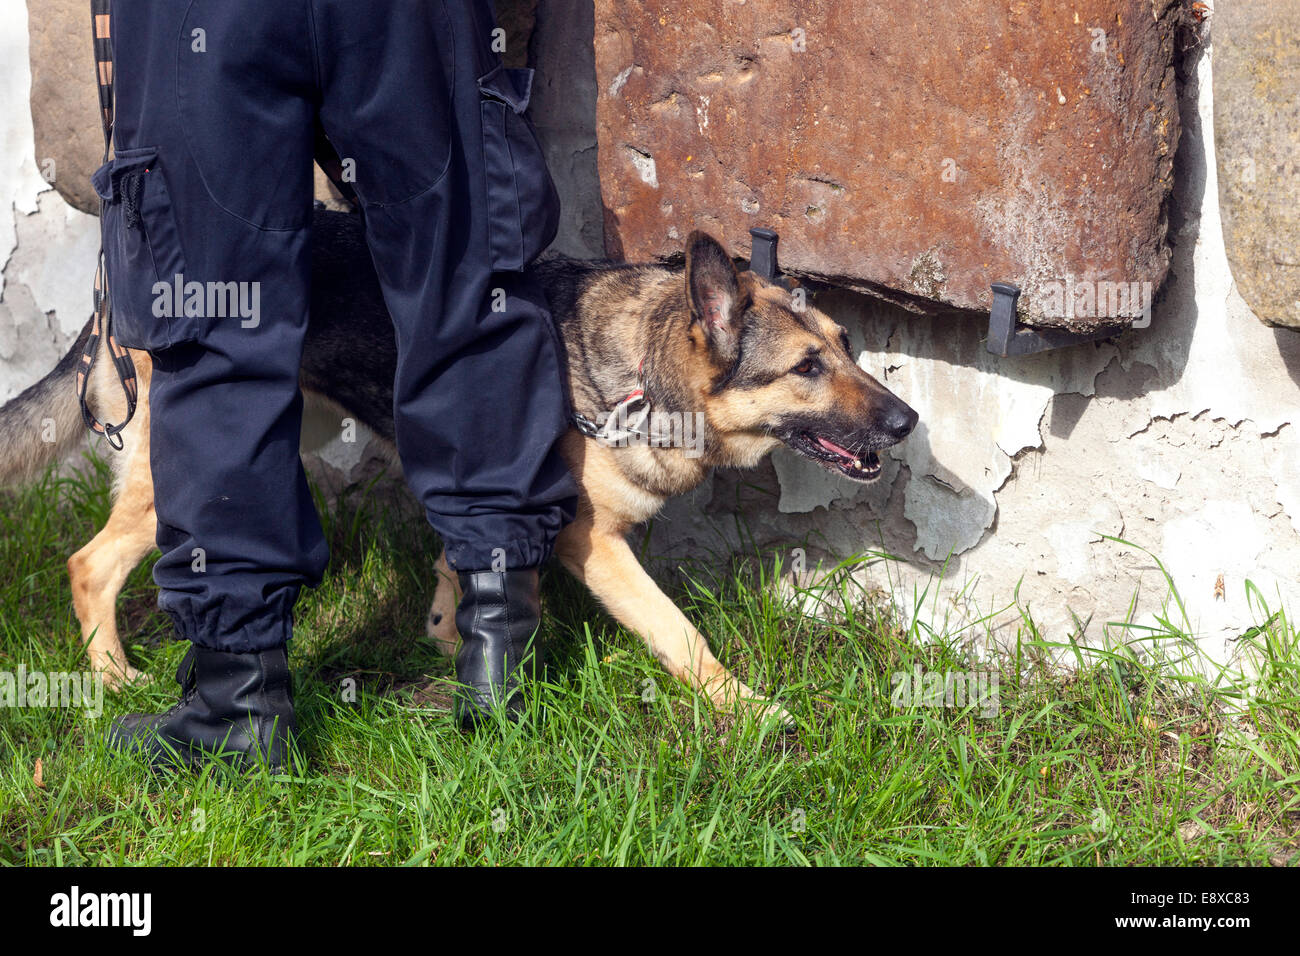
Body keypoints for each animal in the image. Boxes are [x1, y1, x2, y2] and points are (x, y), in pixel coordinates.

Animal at [0, 208, 915, 717]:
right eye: (806, 368)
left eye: (847, 346)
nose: (907, 422)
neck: (640, 374)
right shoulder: (592, 545)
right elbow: (676, 631)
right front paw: (747, 709)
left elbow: (461, 565)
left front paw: (448, 643)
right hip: (188, 472)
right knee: (88, 564)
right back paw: (116, 681)